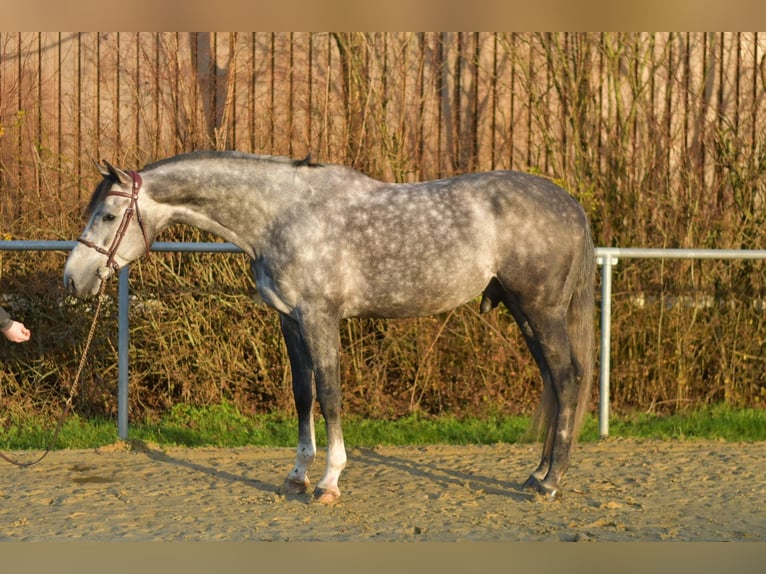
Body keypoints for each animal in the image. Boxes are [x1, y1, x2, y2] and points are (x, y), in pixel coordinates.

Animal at [63, 151, 595, 503]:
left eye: (108, 214)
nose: (73, 279)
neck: (282, 215)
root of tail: (570, 204)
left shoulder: (320, 318)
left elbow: (331, 393)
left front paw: (329, 481)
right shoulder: (290, 320)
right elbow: (303, 394)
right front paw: (298, 474)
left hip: (541, 310)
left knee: (567, 379)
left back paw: (550, 483)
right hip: (525, 313)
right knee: (553, 382)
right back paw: (537, 474)